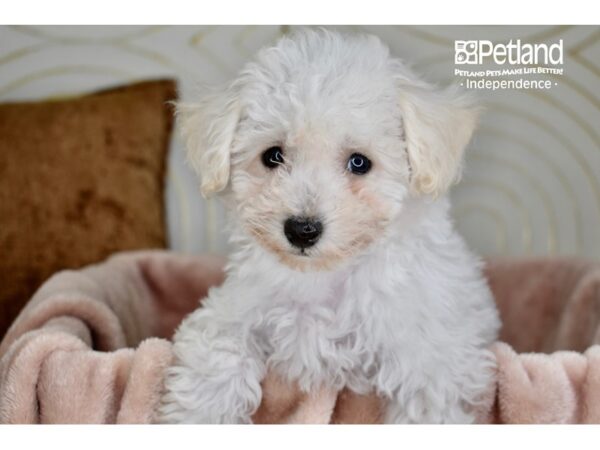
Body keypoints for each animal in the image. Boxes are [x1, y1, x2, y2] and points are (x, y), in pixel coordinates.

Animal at [157, 29, 500, 424]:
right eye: (273, 156)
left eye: (359, 163)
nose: (302, 230)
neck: (324, 275)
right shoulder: (232, 310)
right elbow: (217, 354)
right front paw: (198, 415)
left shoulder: (432, 359)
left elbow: (428, 405)